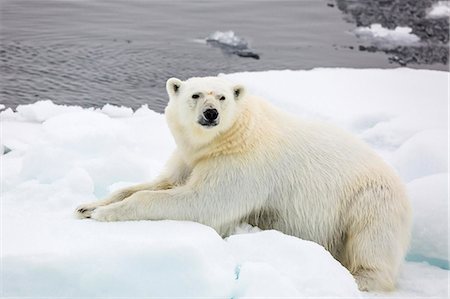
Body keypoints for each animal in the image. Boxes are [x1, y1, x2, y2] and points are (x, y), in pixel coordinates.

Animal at [76, 76, 412, 292]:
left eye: (222, 97)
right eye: (195, 95)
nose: (210, 113)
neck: (230, 137)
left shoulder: (242, 164)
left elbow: (202, 202)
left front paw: (104, 214)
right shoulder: (190, 159)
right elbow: (162, 183)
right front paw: (87, 206)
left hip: (370, 199)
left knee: (371, 241)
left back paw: (356, 279)